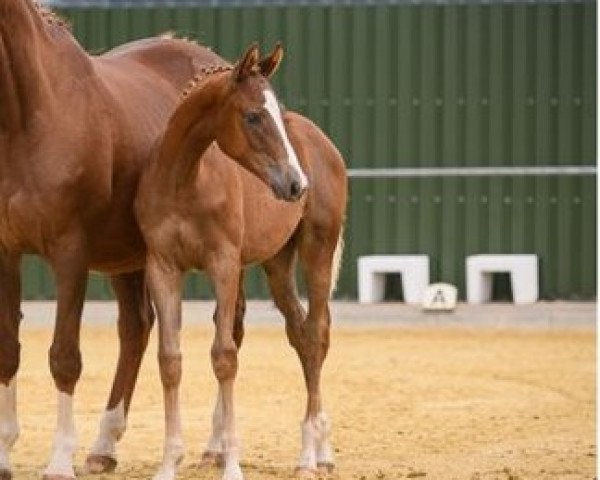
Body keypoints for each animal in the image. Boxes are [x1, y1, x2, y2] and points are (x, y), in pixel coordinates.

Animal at [134, 42, 344, 480]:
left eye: (278, 112)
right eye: (253, 116)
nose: (296, 184)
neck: (185, 179)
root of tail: (323, 142)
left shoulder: (224, 265)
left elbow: (224, 356)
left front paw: (232, 464)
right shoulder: (162, 268)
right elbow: (170, 359)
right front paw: (169, 464)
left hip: (318, 249)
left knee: (316, 334)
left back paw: (312, 454)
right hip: (278, 263)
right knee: (300, 332)